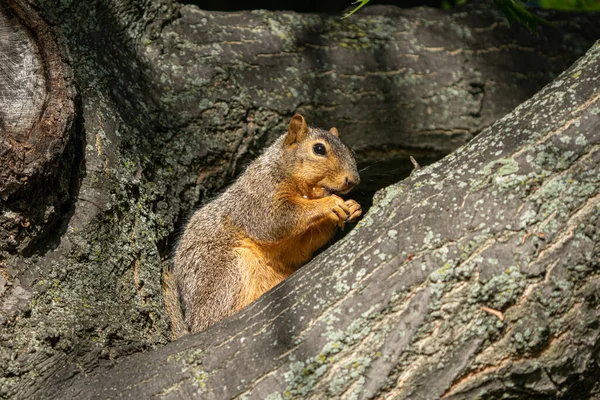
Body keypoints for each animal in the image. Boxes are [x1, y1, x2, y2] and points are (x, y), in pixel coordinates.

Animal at [164, 114, 360, 336]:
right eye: (319, 149)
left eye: (351, 151)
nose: (353, 180)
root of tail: (194, 323)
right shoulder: (259, 198)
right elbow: (275, 220)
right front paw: (329, 204)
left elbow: (301, 248)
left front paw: (352, 207)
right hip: (229, 270)